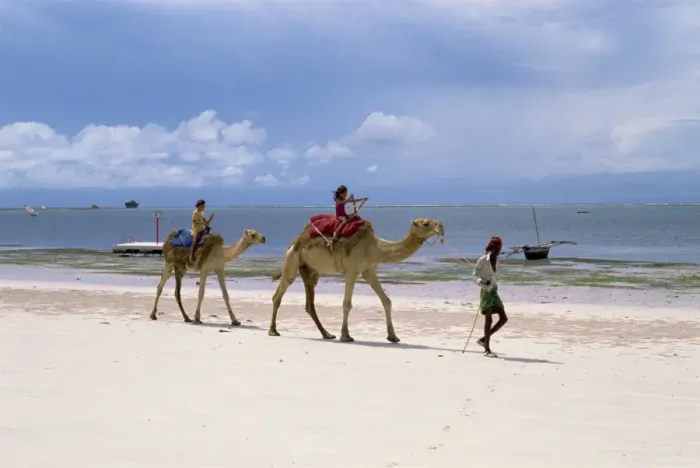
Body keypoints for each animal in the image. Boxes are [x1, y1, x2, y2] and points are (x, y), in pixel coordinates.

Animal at [269, 217, 444, 343]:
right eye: (425, 223)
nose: (441, 227)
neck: (376, 248)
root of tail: (295, 241)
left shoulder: (369, 271)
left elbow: (386, 301)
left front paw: (393, 336)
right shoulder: (351, 271)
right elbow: (347, 304)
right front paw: (345, 336)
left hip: (310, 270)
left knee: (309, 304)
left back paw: (327, 334)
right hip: (292, 261)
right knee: (278, 295)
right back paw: (273, 331)